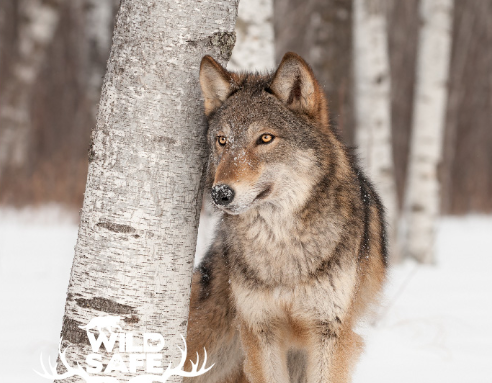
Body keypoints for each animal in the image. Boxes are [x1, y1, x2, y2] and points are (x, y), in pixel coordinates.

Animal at [183, 51, 386, 383]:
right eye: (222, 140)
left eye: (265, 138)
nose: (221, 193)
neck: (280, 246)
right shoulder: (260, 331)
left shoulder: (330, 333)